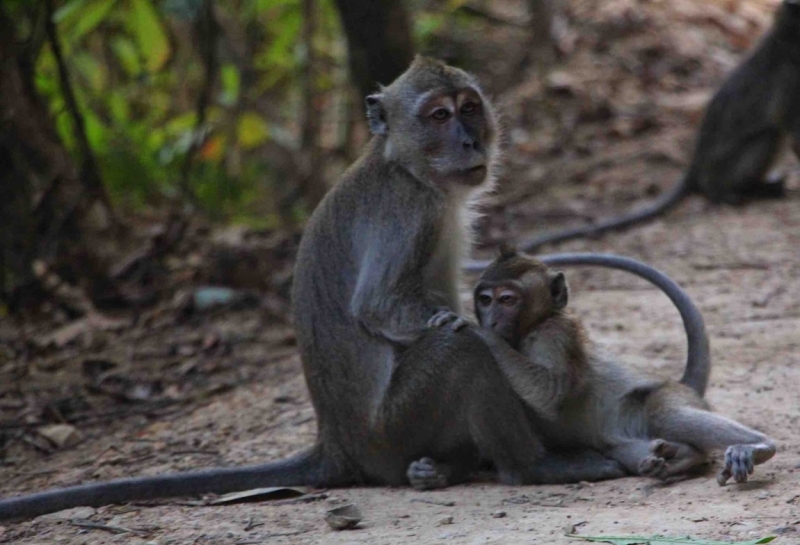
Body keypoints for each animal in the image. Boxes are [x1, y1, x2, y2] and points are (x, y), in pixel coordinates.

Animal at [476, 249, 776, 482]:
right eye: (485, 300)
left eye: (507, 299)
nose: (491, 320)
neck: (531, 326)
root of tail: (682, 385)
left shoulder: (553, 335)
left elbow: (550, 394)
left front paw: (479, 333)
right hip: (620, 436)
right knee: (622, 448)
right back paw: (681, 457)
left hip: (665, 396)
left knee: (663, 413)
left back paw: (758, 446)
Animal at [506, 0, 800, 254]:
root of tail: (695, 168)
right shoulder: (790, 82)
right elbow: (792, 131)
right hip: (727, 165)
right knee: (765, 140)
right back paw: (734, 193)